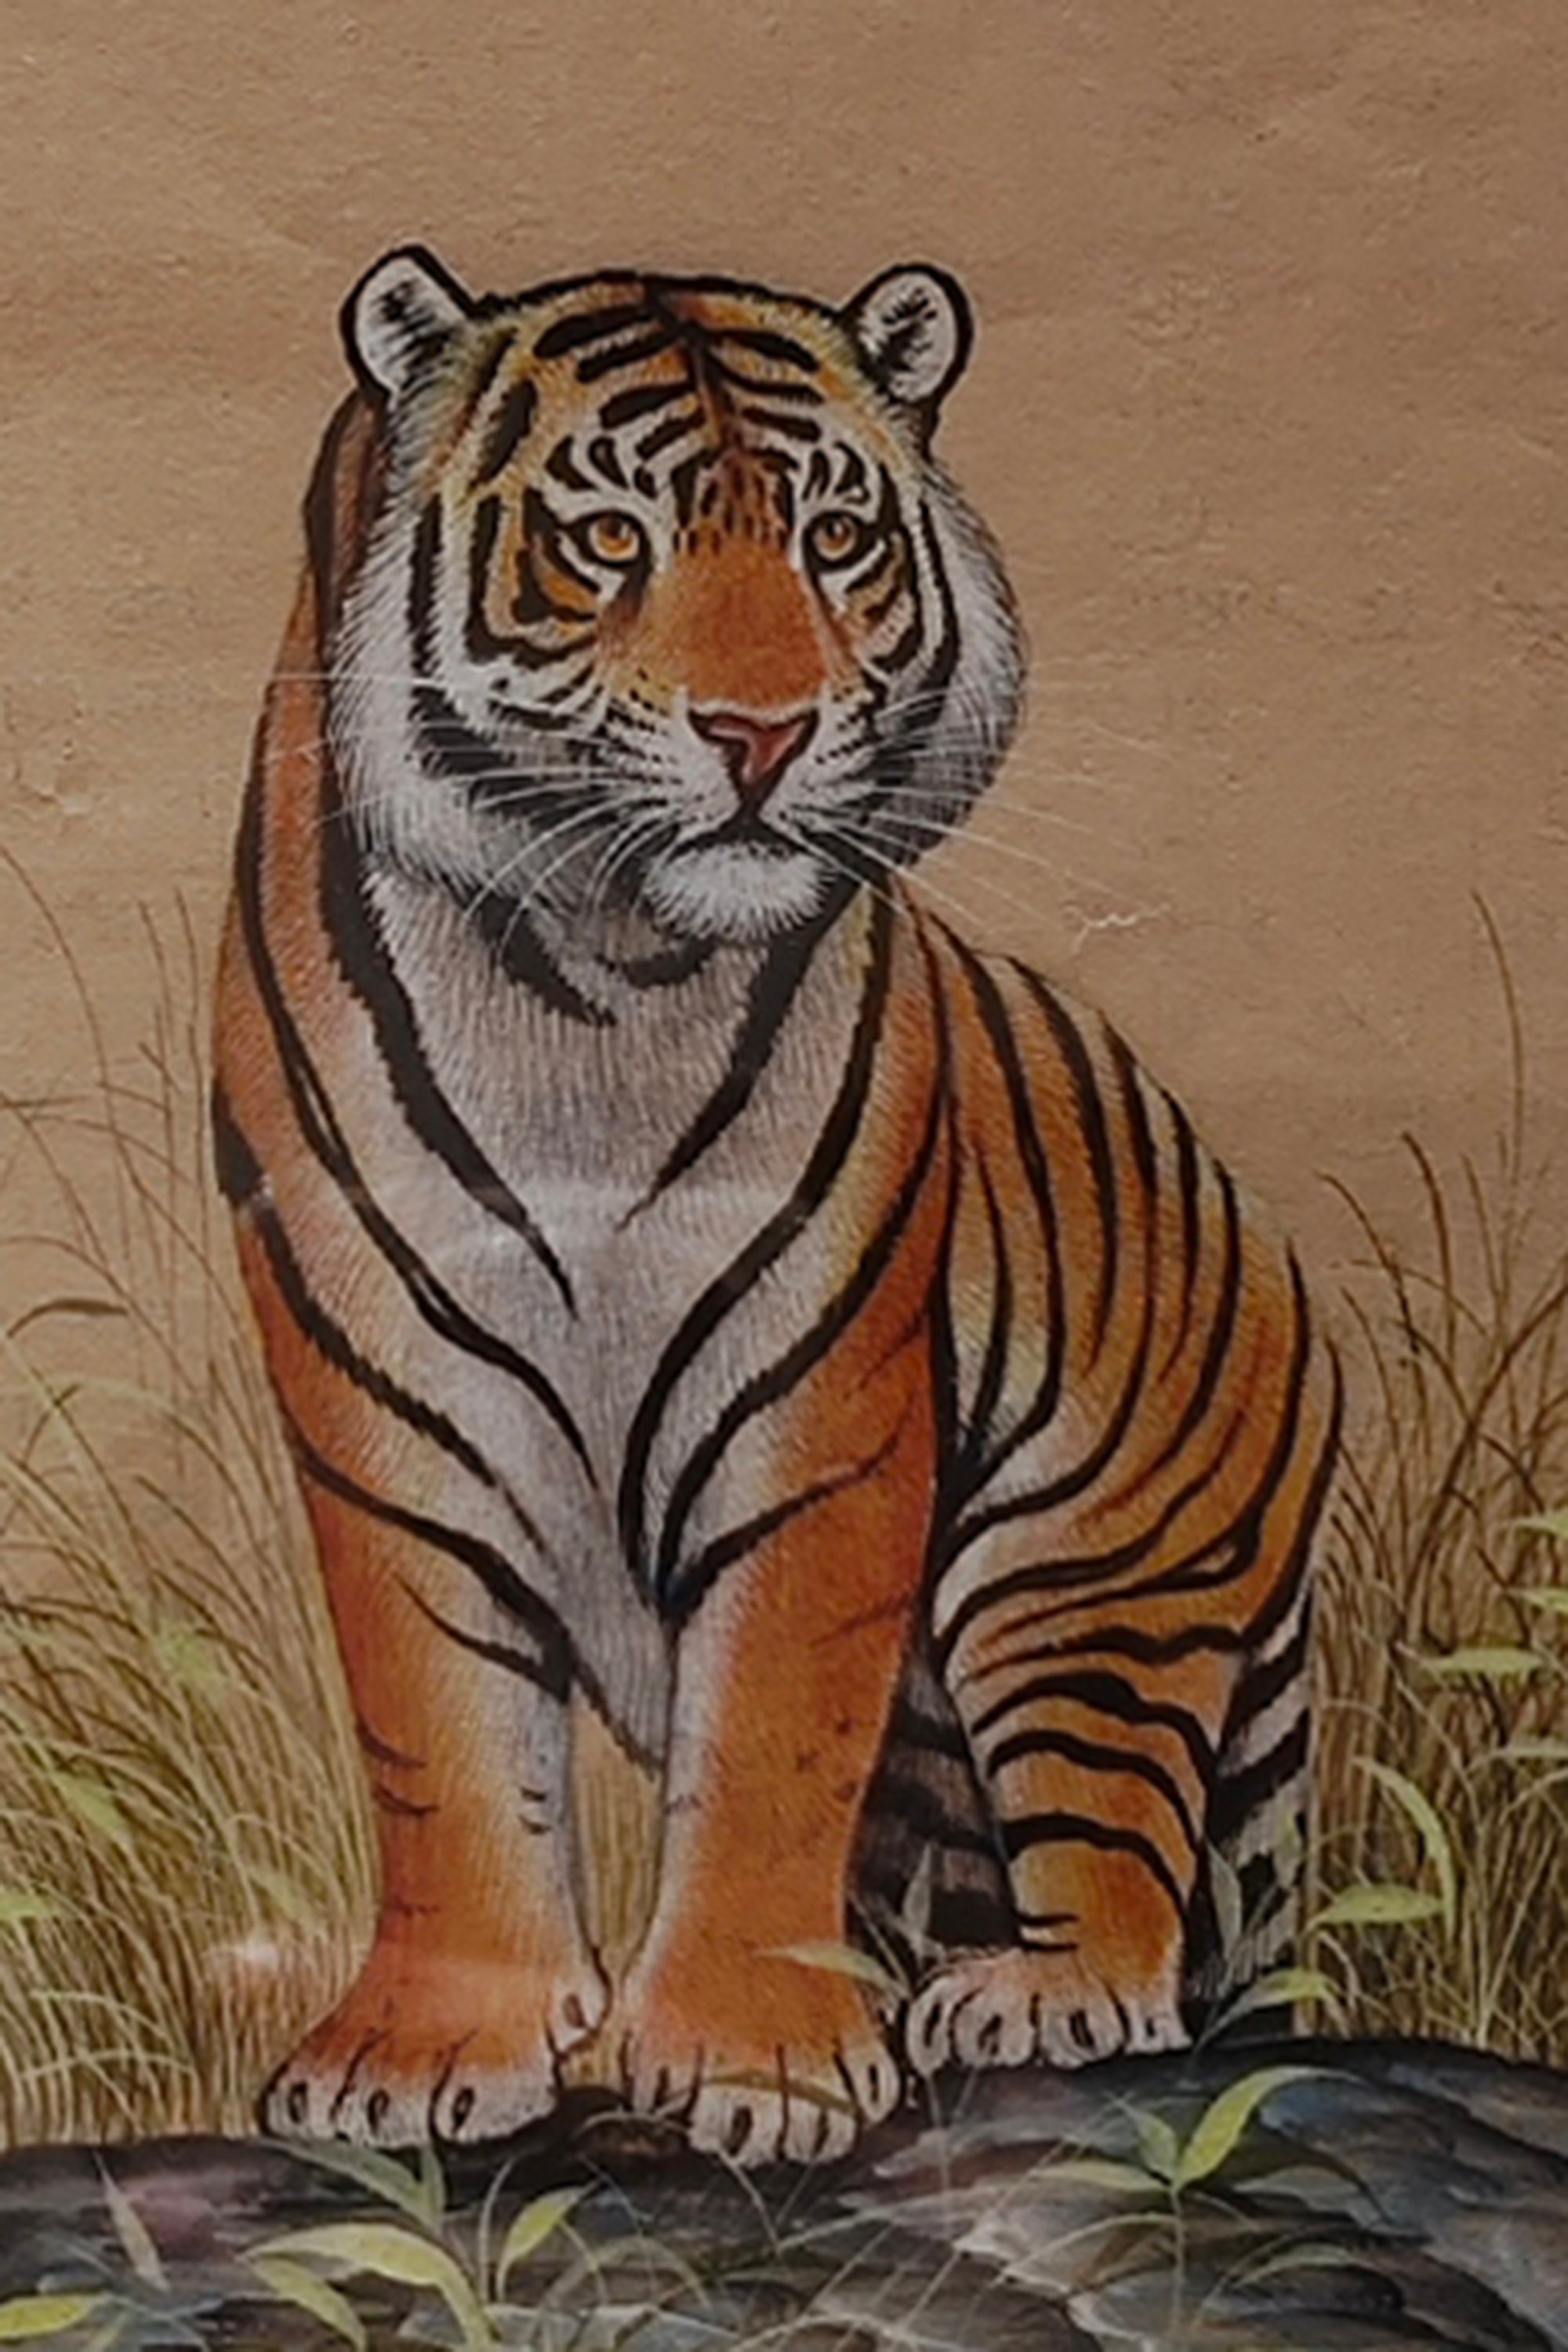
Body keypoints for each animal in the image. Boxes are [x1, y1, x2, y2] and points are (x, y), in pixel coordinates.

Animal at [213, 246, 1341, 2168]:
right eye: (607, 537)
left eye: (833, 537)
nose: (766, 734)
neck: (589, 986)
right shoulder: (382, 1395)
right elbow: (440, 1738)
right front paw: (431, 2049)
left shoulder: (819, 1396)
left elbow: (768, 1741)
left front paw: (753, 2061)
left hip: (1086, 1569)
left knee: (1125, 1866)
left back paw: (1032, 1993)